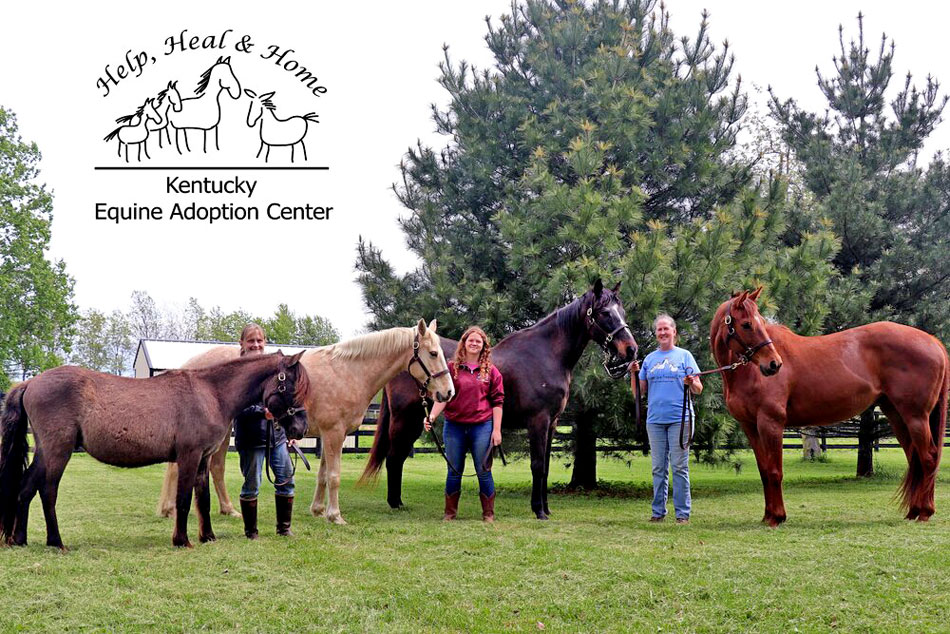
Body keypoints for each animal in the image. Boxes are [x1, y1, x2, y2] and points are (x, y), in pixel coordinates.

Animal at [0, 350, 308, 548]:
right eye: (293, 387)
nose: (300, 429)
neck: (211, 394)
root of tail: (30, 382)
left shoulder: (203, 459)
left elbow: (203, 499)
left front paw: (207, 537)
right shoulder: (189, 456)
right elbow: (183, 499)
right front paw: (182, 540)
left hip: (45, 451)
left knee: (26, 488)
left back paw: (19, 539)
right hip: (57, 451)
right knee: (47, 491)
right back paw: (56, 542)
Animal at [157, 320, 458, 524]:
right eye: (433, 353)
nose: (448, 392)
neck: (349, 371)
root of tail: (190, 365)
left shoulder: (329, 435)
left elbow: (323, 475)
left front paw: (317, 510)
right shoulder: (334, 433)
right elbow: (334, 476)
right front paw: (335, 515)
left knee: (213, 467)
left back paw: (224, 509)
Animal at [362, 278, 640, 516]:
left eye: (623, 312)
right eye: (604, 313)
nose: (631, 350)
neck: (546, 355)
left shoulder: (551, 424)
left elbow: (546, 467)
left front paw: (546, 508)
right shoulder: (537, 421)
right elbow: (537, 465)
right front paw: (538, 511)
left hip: (416, 420)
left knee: (398, 457)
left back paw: (398, 502)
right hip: (403, 418)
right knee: (394, 458)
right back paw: (395, 504)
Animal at [712, 286, 950, 524]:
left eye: (760, 321)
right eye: (747, 324)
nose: (774, 364)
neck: (746, 373)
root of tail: (933, 341)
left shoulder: (771, 423)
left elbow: (774, 471)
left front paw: (777, 517)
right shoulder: (750, 426)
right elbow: (764, 471)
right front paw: (768, 515)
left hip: (916, 417)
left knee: (928, 458)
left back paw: (925, 512)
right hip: (896, 415)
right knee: (915, 459)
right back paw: (914, 511)